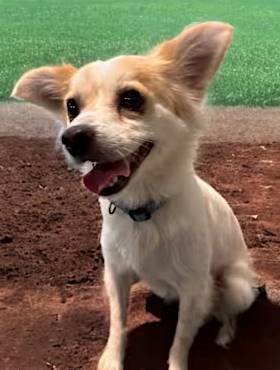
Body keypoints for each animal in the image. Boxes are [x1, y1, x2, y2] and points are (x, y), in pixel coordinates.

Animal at [12, 21, 258, 368]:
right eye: (72, 107)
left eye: (131, 98)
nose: (71, 137)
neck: (143, 209)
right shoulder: (115, 275)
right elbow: (118, 322)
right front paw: (112, 359)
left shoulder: (194, 288)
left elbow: (181, 340)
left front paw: (178, 363)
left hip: (237, 286)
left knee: (228, 311)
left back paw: (224, 333)